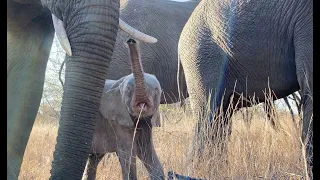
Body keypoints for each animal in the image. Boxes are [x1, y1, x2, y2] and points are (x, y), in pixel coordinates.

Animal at [82, 38, 165, 179]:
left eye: (156, 90)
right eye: (128, 90)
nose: (131, 40)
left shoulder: (147, 122)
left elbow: (146, 150)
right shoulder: (117, 120)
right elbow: (128, 152)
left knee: (94, 158)